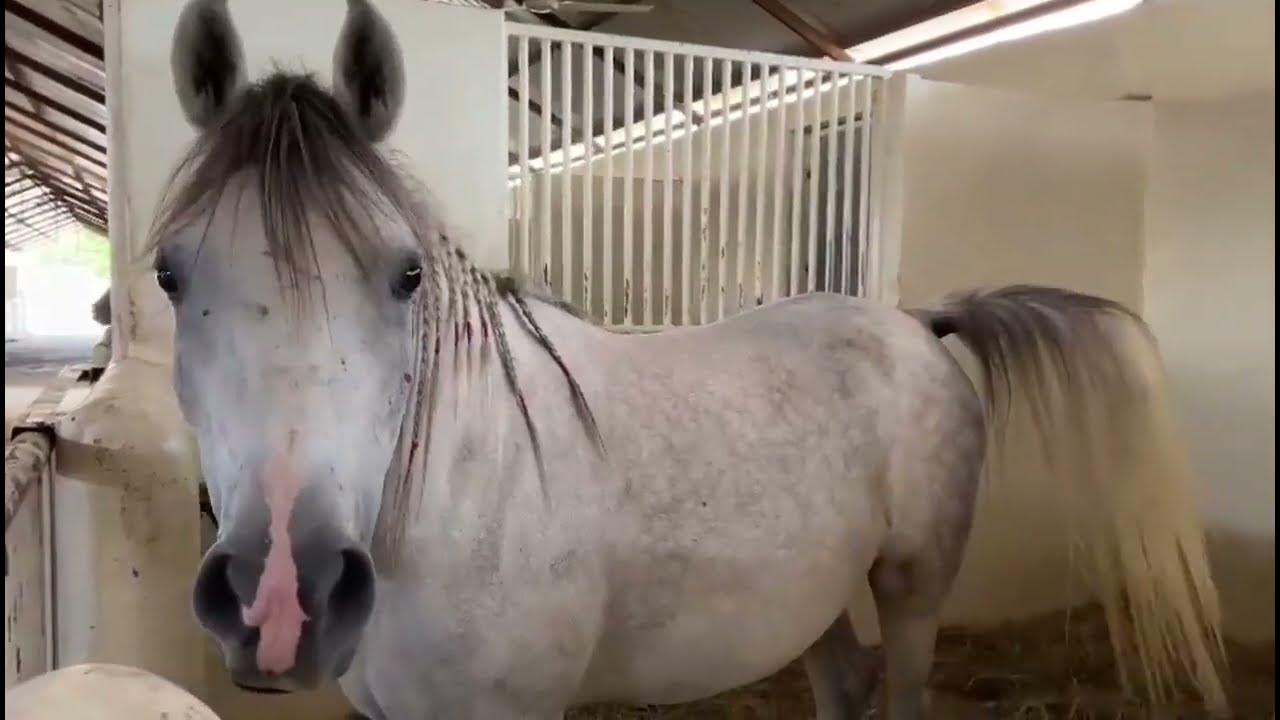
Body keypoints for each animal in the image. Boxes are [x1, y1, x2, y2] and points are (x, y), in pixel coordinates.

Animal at [159, 1, 1227, 717]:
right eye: (169, 272)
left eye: (406, 275)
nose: (280, 599)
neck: (452, 500)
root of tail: (919, 326)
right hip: (817, 598)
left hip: (914, 589)